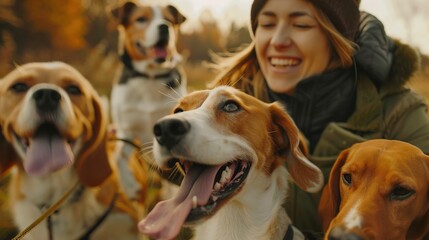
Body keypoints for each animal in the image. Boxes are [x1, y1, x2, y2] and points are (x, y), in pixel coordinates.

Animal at [109, 0, 186, 200]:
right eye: (141, 19)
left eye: (169, 20)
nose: (164, 27)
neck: (150, 77)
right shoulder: (127, 130)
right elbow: (118, 157)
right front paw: (129, 186)